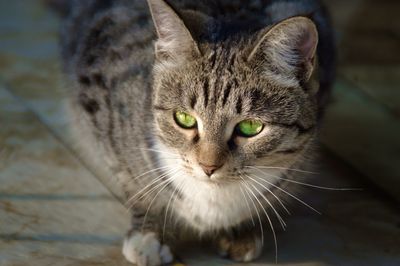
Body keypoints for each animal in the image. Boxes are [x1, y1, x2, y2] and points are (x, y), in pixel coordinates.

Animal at [53, 0, 334, 264]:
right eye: (185, 119)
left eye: (250, 127)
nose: (208, 167)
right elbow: (133, 179)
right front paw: (151, 232)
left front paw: (240, 229)